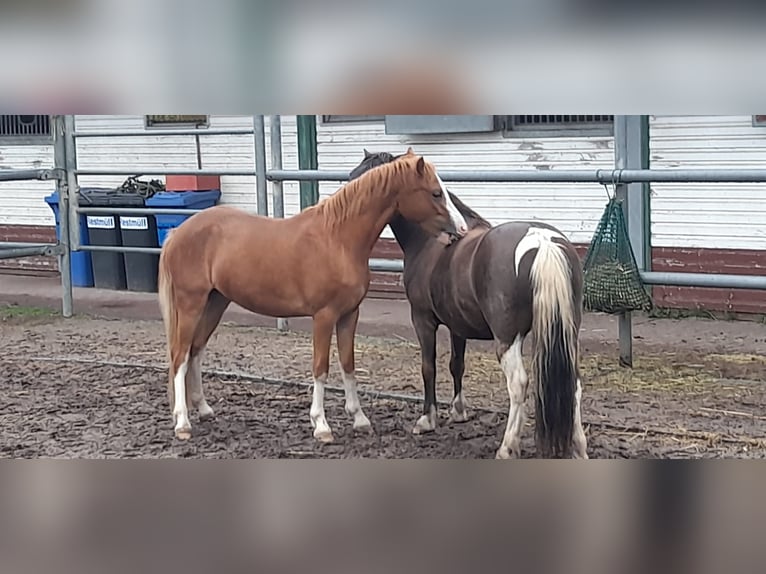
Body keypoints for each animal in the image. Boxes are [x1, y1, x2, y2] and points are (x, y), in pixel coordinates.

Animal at [158, 148, 469, 442]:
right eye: (436, 193)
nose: (462, 229)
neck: (338, 240)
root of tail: (176, 233)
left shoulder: (349, 315)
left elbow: (347, 364)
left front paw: (359, 419)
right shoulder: (324, 316)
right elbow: (321, 367)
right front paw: (321, 425)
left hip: (215, 302)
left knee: (195, 351)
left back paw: (203, 409)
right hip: (191, 303)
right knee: (180, 357)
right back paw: (182, 423)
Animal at [349, 150, 588, 459]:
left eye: (362, 179)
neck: (432, 240)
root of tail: (542, 241)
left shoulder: (422, 319)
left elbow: (428, 367)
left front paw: (427, 420)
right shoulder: (456, 324)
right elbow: (456, 364)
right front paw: (459, 411)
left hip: (508, 339)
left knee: (518, 384)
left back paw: (507, 447)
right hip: (566, 333)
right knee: (575, 384)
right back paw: (578, 446)